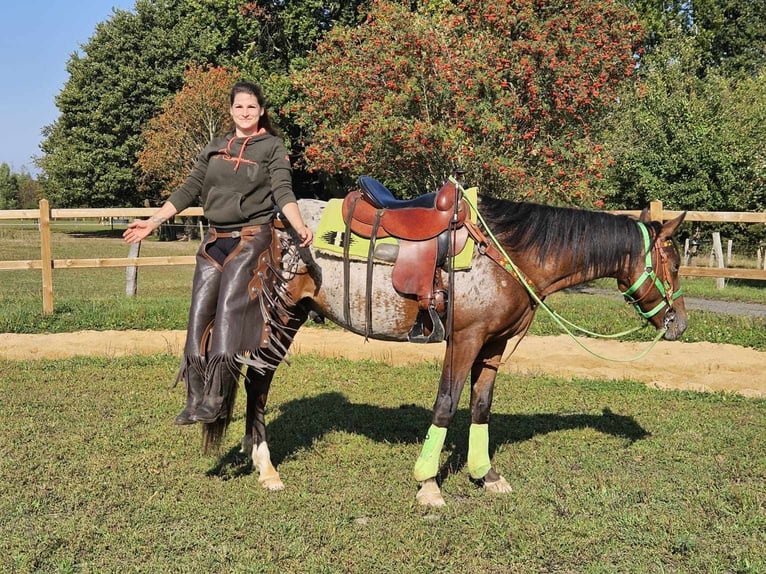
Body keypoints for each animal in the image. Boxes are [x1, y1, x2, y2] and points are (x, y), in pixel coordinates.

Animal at [201, 186, 688, 508]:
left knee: (257, 379)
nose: (679, 323)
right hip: (280, 316)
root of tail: (268, 226)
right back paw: (266, 467)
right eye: (672, 261)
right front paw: (428, 483)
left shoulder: (493, 344)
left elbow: (480, 406)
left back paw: (252, 452)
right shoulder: (465, 340)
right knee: (259, 378)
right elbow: (447, 404)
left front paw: (485, 475)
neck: (507, 254)